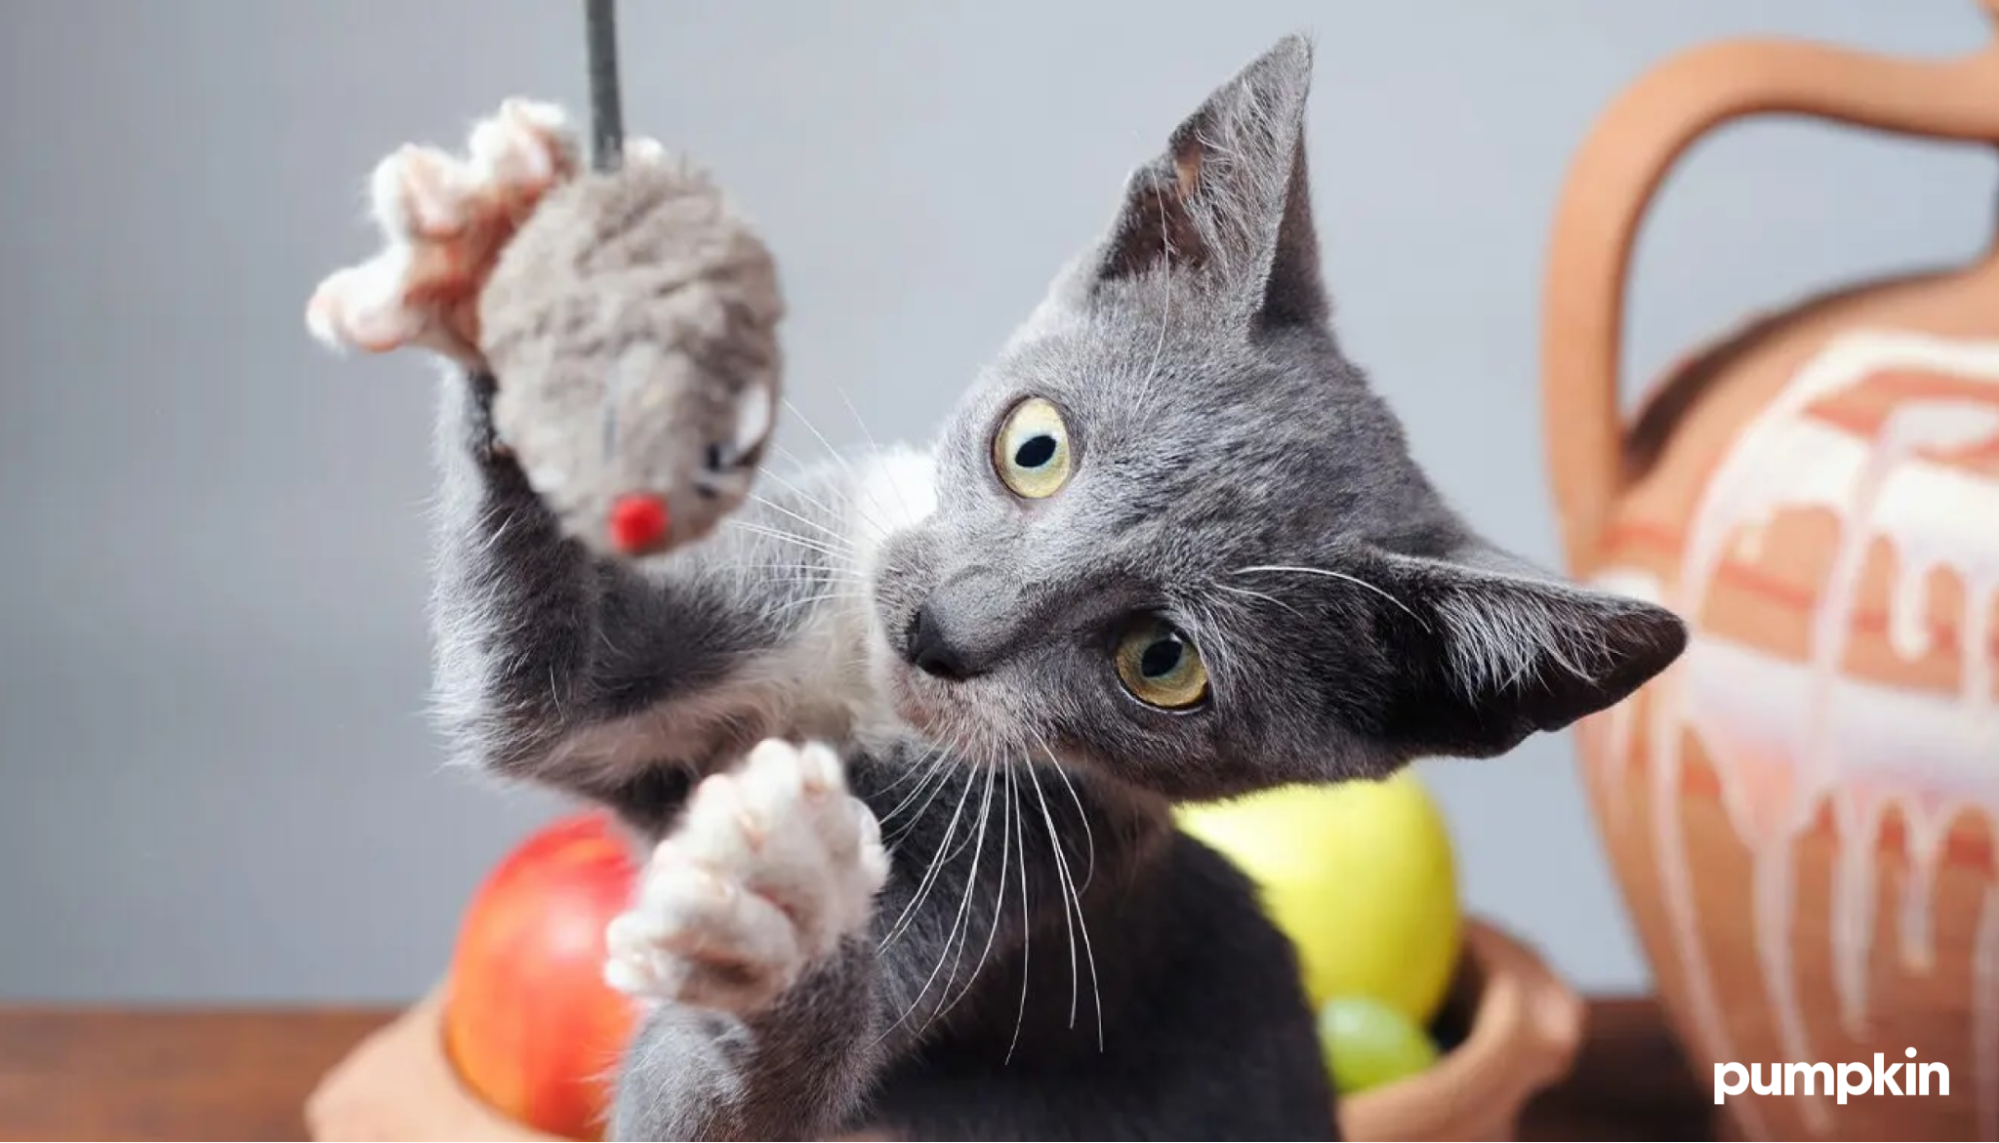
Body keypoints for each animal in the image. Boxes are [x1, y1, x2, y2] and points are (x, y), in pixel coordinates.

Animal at [311, 31, 1687, 1135]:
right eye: (1036, 447)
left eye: (1162, 662)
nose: (938, 631)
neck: (863, 707)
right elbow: (532, 695)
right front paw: (495, 258)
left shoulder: (1020, 876)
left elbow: (703, 1104)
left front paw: (781, 925)